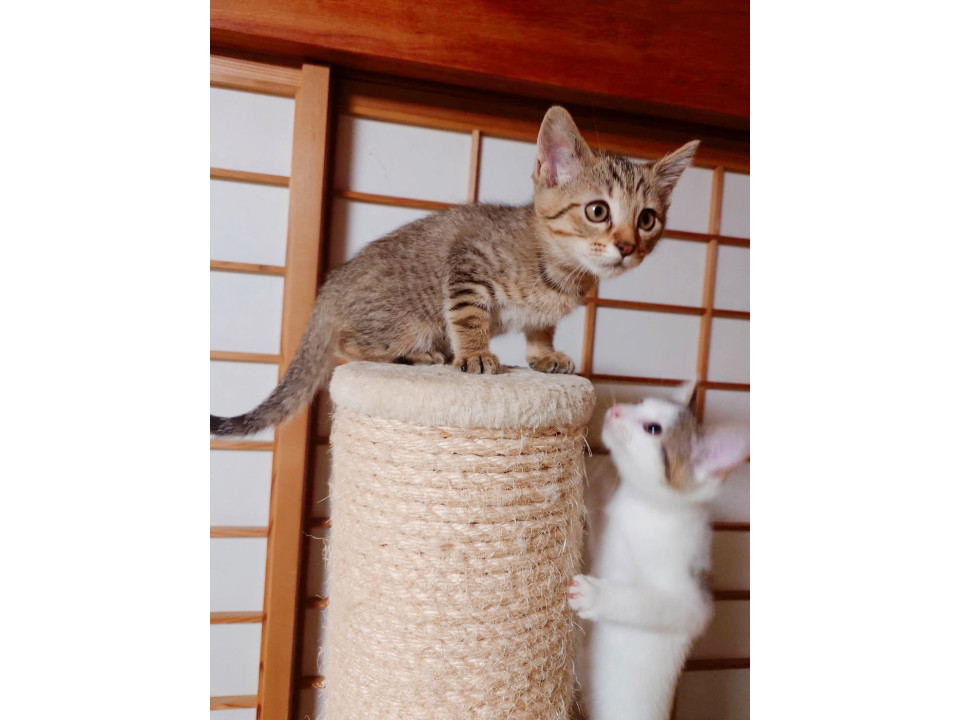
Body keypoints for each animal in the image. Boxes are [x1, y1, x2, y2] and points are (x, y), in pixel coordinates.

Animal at [211, 106, 699, 436]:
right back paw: (421, 355)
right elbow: (468, 314)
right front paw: (475, 354)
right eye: (598, 211)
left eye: (648, 219)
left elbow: (541, 327)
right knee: (349, 347)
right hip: (401, 323)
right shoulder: (467, 261)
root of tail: (328, 290)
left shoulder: (542, 310)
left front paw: (544, 355)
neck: (561, 269)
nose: (627, 246)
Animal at [568, 386, 749, 720]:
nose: (616, 410)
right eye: (639, 402)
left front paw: (596, 595)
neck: (645, 507)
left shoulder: (692, 604)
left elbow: (644, 602)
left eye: (653, 429)